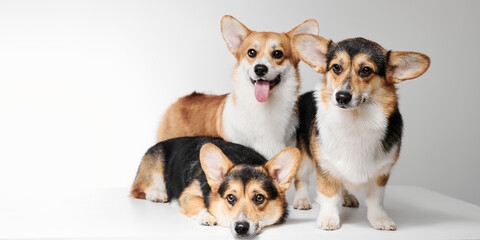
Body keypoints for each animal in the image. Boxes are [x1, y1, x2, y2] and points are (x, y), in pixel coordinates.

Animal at [129, 137, 298, 238]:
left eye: (259, 198)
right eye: (231, 198)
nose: (241, 228)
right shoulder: (189, 193)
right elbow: (198, 204)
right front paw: (206, 216)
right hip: (154, 172)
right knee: (137, 190)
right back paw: (156, 194)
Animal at [292, 34, 432, 231]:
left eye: (366, 70)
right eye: (336, 67)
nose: (342, 97)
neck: (355, 120)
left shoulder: (381, 173)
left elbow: (376, 200)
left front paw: (380, 219)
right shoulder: (325, 167)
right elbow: (329, 196)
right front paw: (328, 219)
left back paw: (348, 197)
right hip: (304, 157)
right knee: (301, 180)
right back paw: (302, 200)